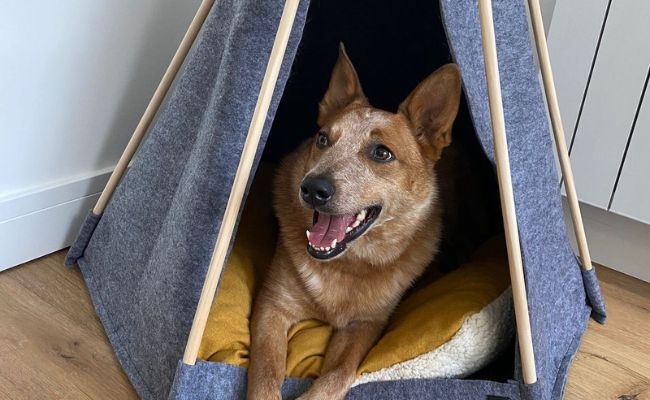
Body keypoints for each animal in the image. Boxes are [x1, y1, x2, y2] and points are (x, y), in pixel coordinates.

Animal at [244, 44, 460, 400]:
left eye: (382, 153)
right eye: (322, 139)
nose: (312, 188)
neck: (348, 266)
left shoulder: (365, 324)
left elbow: (338, 374)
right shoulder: (272, 306)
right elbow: (265, 373)